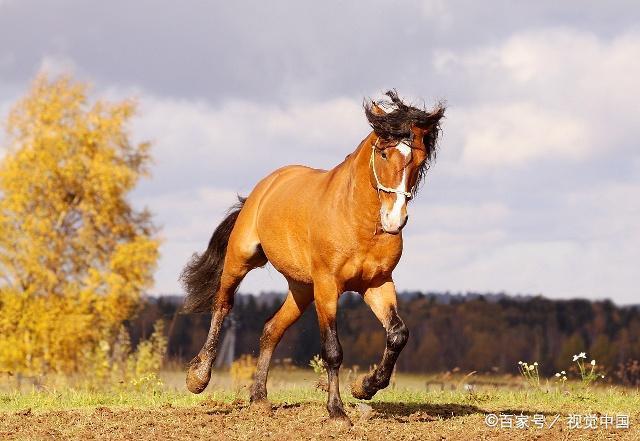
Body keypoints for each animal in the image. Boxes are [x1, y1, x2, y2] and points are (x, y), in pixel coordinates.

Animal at [180, 91, 444, 424]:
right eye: (384, 154)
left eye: (419, 159)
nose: (394, 219)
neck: (356, 218)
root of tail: (265, 186)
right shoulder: (328, 286)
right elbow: (332, 349)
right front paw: (337, 412)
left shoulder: (377, 283)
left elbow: (398, 334)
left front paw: (365, 387)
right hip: (242, 260)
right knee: (223, 305)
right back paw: (198, 377)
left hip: (301, 288)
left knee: (271, 329)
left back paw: (260, 399)